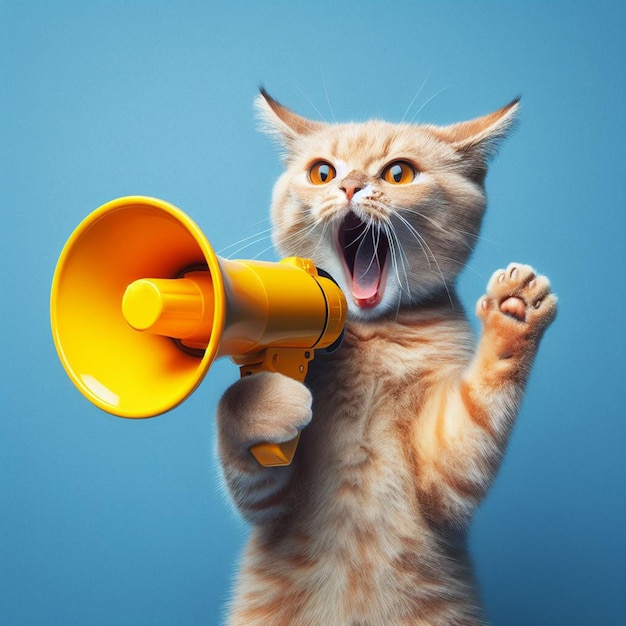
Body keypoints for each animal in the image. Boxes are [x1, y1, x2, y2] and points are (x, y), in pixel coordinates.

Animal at [216, 89, 556, 624]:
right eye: (323, 173)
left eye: (398, 173)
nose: (351, 186)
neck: (372, 337)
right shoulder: (270, 507)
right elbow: (237, 422)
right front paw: (266, 400)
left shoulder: (445, 478)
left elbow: (477, 412)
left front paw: (514, 310)